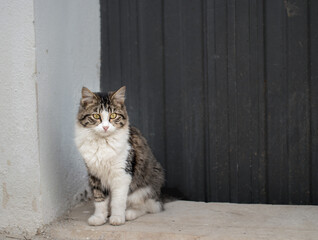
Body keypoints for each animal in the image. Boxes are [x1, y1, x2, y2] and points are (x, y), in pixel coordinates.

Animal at [74, 87, 164, 226]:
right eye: (96, 116)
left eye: (113, 116)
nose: (105, 127)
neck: (103, 143)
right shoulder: (94, 175)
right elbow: (100, 200)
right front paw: (99, 218)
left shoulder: (122, 174)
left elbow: (117, 201)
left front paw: (117, 218)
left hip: (142, 191)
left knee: (149, 207)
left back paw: (129, 213)